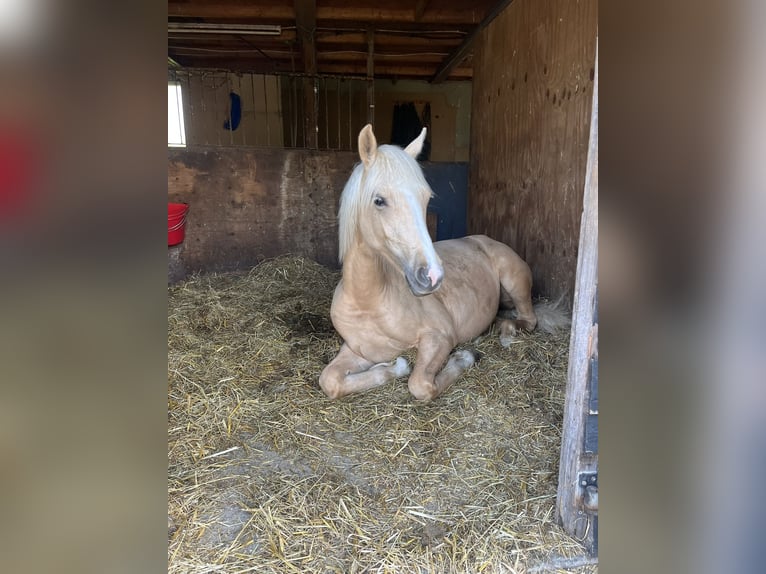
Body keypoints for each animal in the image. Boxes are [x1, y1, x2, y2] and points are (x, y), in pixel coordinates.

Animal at [319, 124, 559, 401]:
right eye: (379, 200)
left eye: (425, 198)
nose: (432, 276)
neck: (368, 302)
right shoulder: (357, 349)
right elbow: (329, 380)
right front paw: (394, 367)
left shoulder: (440, 337)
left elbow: (420, 385)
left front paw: (464, 357)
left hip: (515, 282)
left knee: (528, 320)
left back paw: (505, 335)